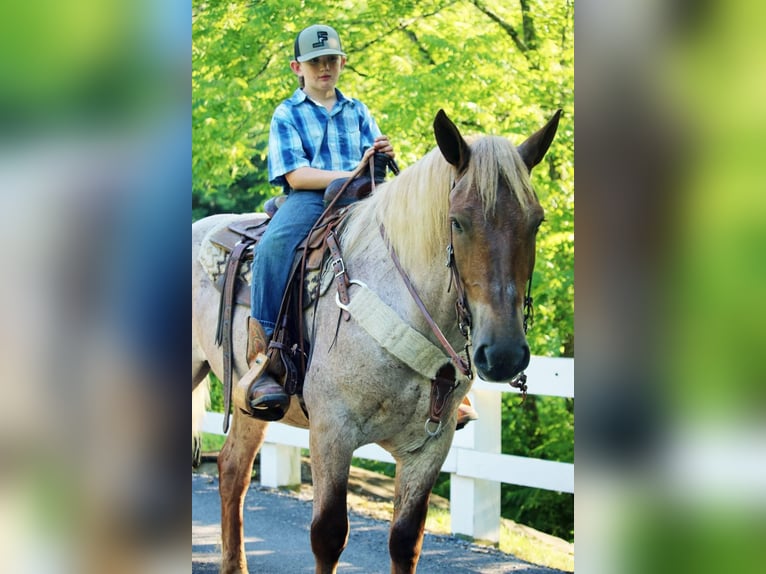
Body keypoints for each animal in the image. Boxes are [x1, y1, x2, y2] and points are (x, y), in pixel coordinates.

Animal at [190, 109, 564, 574]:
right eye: (457, 221)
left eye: (537, 221)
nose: (504, 353)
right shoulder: (332, 431)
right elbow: (329, 535)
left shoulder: (431, 447)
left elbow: (405, 540)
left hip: (249, 401)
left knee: (232, 471)